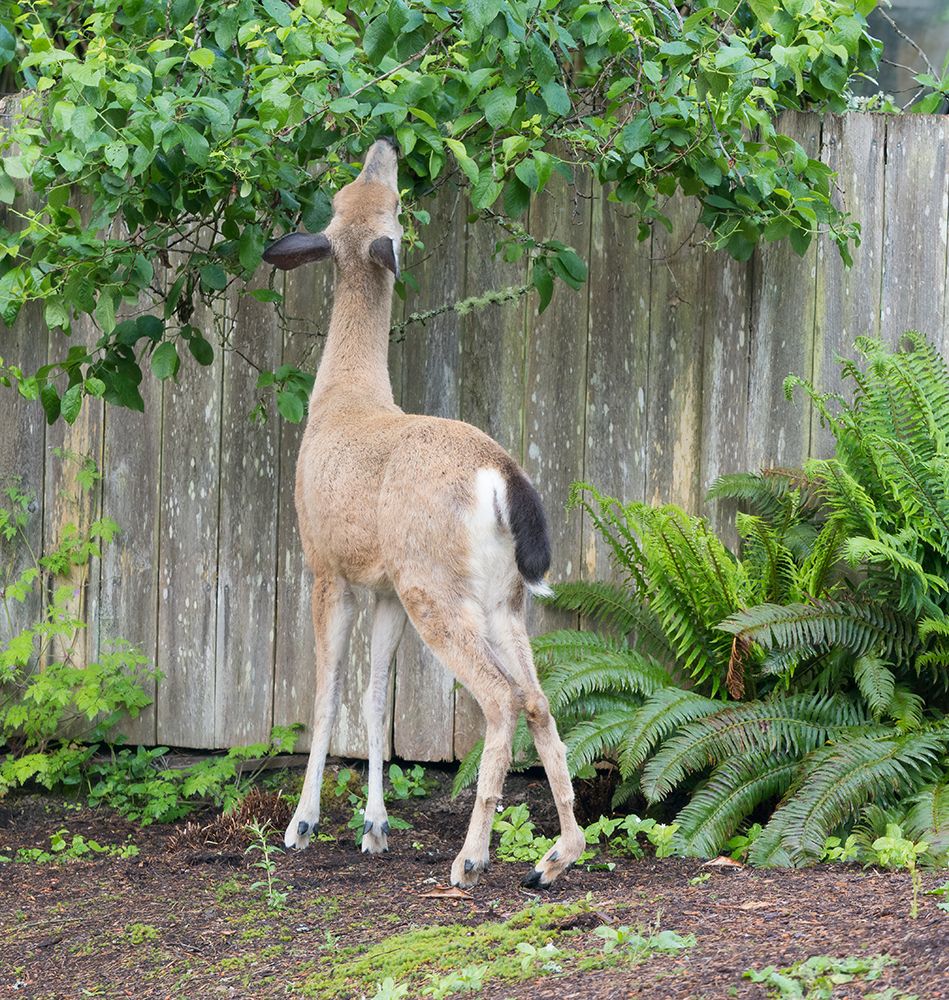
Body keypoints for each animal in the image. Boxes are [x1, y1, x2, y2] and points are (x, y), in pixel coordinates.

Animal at [262, 137, 585, 890]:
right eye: (352, 189)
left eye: (392, 202)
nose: (385, 144)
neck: (345, 396)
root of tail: (501, 475)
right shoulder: (381, 589)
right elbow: (375, 698)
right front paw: (374, 826)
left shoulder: (325, 564)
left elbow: (326, 692)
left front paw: (303, 824)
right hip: (499, 599)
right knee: (538, 699)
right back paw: (554, 858)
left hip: (432, 586)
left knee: (499, 699)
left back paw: (471, 858)